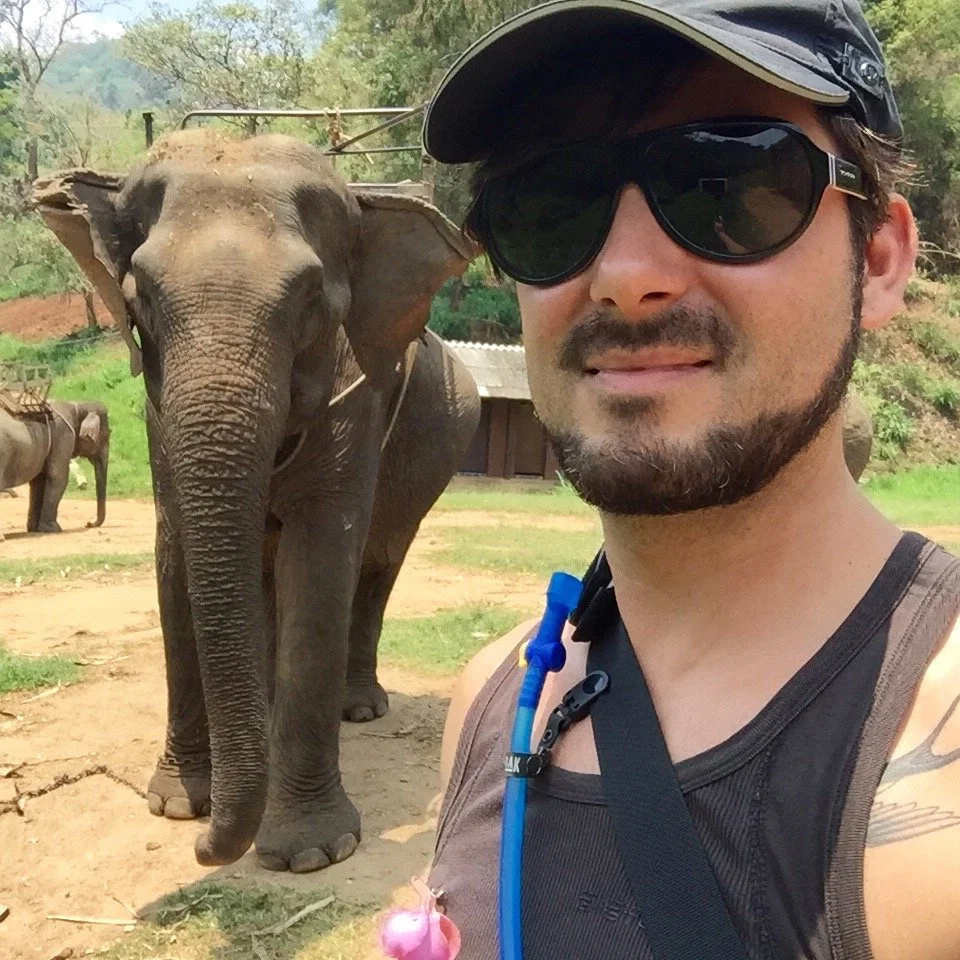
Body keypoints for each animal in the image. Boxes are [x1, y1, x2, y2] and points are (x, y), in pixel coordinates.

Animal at [0, 399, 109, 540]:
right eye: (108, 435)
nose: (88, 524)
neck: (78, 405)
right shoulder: (63, 435)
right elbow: (58, 477)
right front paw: (53, 529)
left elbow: (39, 481)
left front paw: (35, 529)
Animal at [34, 130, 481, 873]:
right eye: (141, 298)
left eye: (309, 300)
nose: (204, 850)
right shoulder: (158, 415)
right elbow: (174, 552)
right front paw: (177, 804)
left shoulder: (356, 398)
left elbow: (321, 556)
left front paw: (310, 852)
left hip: (436, 452)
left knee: (379, 560)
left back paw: (359, 709)